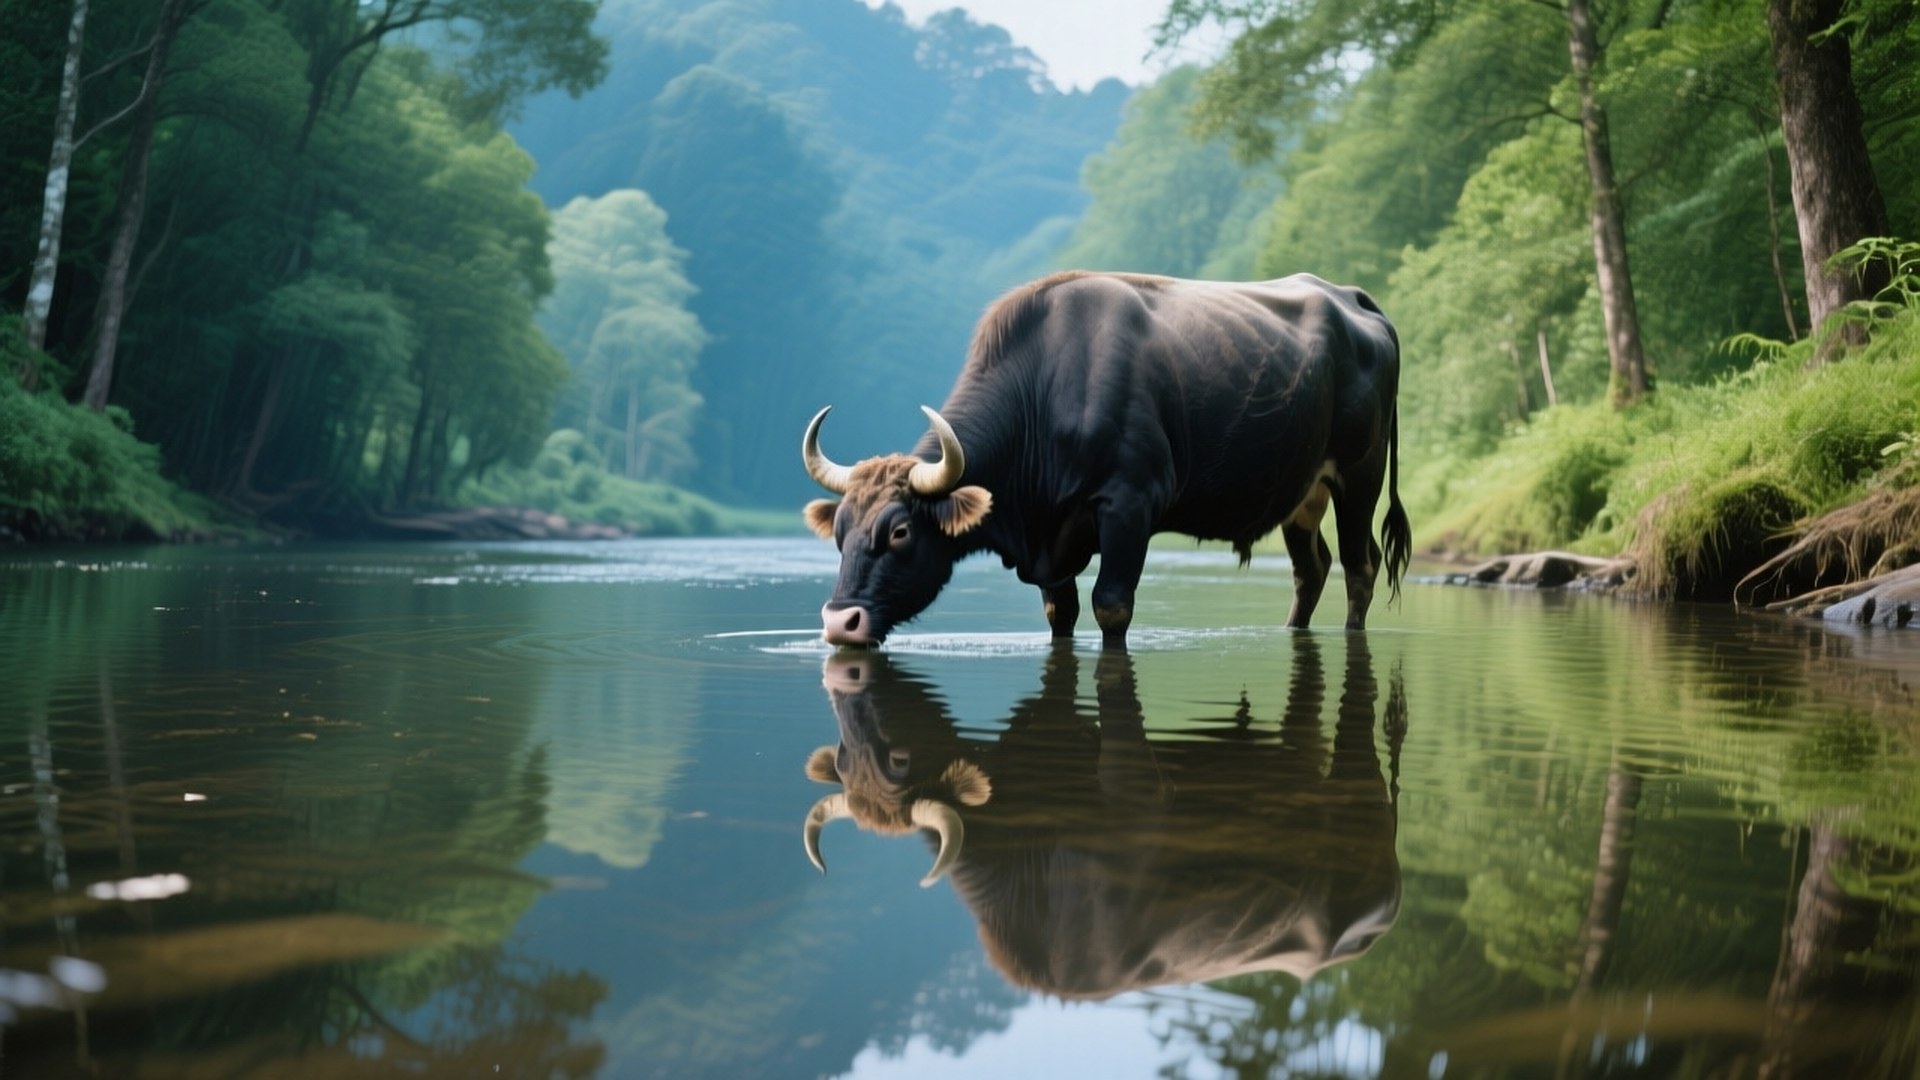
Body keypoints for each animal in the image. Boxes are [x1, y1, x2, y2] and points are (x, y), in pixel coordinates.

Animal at [801, 270, 1411, 647]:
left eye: (900, 532)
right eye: (840, 531)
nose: (840, 623)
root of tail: (1349, 297)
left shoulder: (1129, 504)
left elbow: (1112, 606)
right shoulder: (1051, 539)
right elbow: (1061, 613)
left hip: (1360, 476)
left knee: (1359, 565)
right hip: (1302, 494)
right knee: (1312, 569)